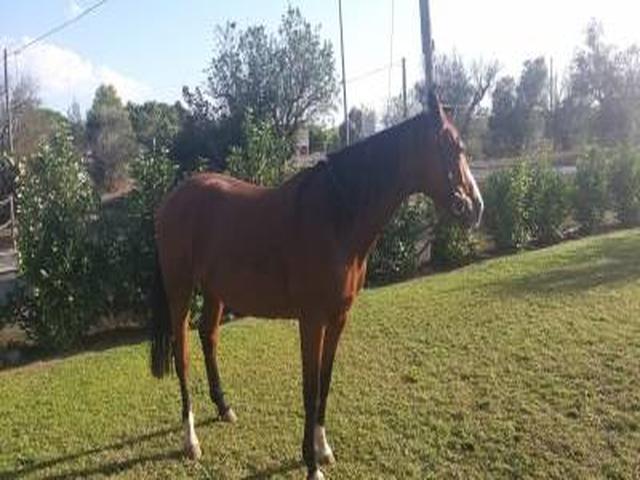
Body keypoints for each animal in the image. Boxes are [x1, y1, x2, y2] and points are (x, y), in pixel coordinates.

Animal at [149, 90, 483, 480]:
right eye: (451, 146)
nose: (475, 207)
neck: (336, 216)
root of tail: (171, 200)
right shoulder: (311, 321)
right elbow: (309, 390)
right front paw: (311, 465)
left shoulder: (338, 318)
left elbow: (325, 382)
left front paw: (323, 449)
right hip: (181, 292)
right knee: (182, 352)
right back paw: (190, 439)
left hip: (215, 291)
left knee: (209, 337)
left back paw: (224, 407)